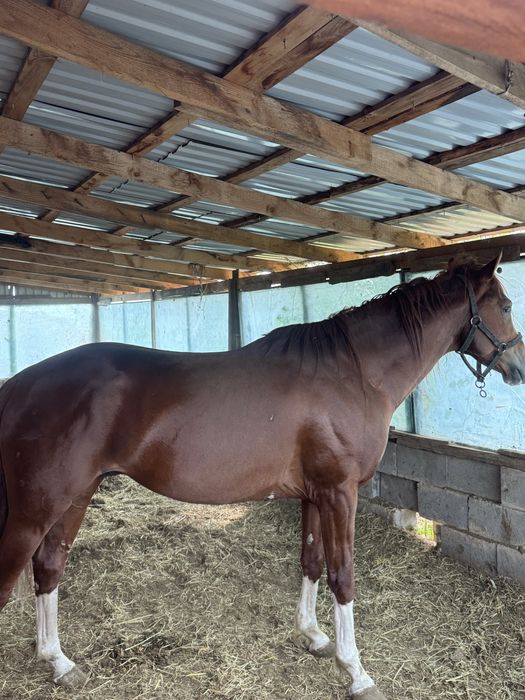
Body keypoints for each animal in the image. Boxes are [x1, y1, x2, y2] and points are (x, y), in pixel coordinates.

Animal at [0, 254, 524, 699]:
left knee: (49, 567)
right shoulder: (340, 493)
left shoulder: (315, 494)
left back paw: (59, 662)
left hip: (75, 497)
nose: (517, 367)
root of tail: (18, 385)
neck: (353, 372)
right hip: (34, 511)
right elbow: (343, 575)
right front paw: (356, 671)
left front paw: (314, 636)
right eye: (505, 304)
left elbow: (311, 561)